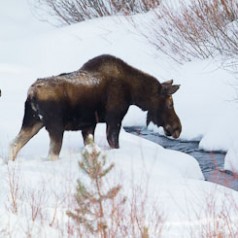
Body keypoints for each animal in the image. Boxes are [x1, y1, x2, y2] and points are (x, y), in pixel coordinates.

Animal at [8, 54, 181, 161]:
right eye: (170, 103)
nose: (177, 129)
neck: (133, 93)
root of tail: (31, 94)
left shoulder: (89, 124)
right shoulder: (114, 119)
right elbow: (114, 143)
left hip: (32, 122)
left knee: (13, 144)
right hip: (55, 127)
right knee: (51, 155)